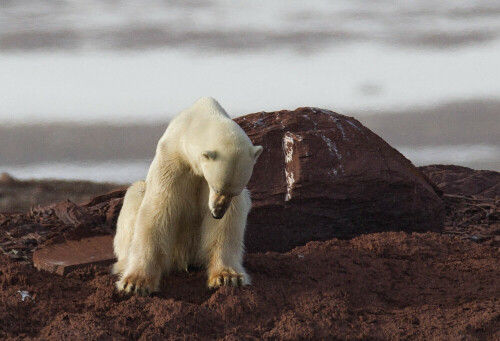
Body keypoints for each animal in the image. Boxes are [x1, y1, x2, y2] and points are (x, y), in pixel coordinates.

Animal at [112, 96, 262, 294]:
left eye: (233, 191)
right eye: (215, 186)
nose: (217, 213)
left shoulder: (231, 195)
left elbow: (229, 221)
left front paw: (228, 277)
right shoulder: (172, 163)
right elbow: (158, 210)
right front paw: (136, 283)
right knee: (136, 194)